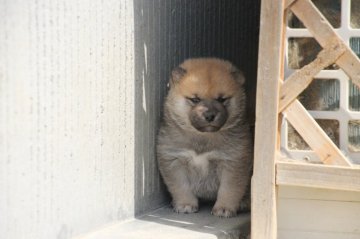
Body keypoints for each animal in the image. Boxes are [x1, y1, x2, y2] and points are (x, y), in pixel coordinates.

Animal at [156, 57, 252, 217]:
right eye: (195, 99)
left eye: (222, 99)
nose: (209, 115)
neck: (202, 138)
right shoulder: (174, 160)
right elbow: (181, 187)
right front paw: (185, 204)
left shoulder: (233, 162)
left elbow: (229, 189)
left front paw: (224, 208)